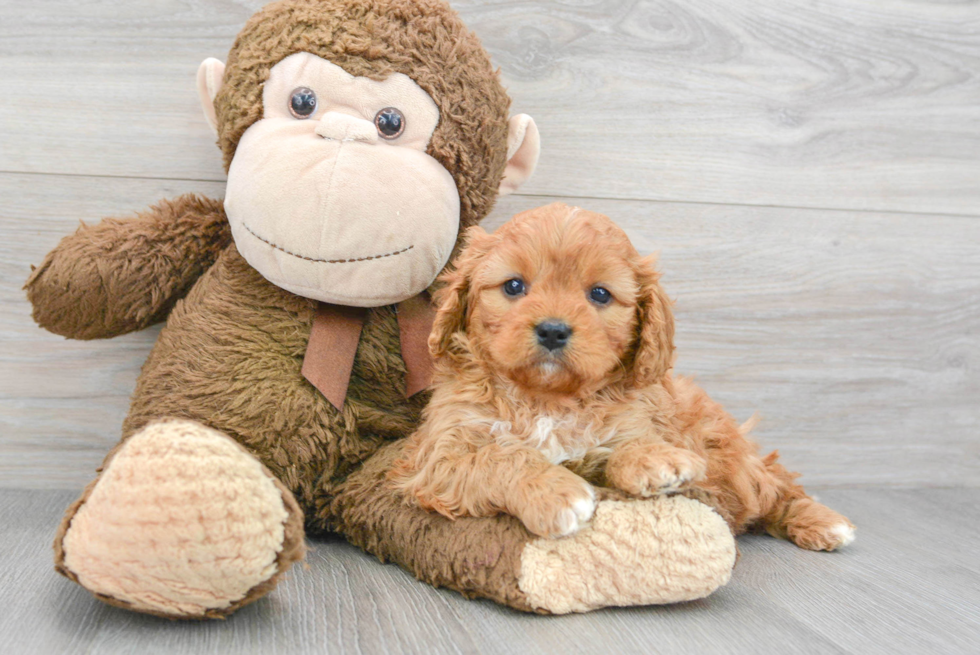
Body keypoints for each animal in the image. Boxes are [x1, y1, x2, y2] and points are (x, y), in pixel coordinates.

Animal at [386, 202, 852, 552]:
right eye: (514, 286)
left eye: (599, 294)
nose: (553, 330)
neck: (545, 399)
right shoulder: (436, 459)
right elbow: (498, 457)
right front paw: (557, 492)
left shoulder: (632, 424)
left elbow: (621, 449)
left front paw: (654, 460)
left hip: (735, 457)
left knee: (777, 486)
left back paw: (824, 522)